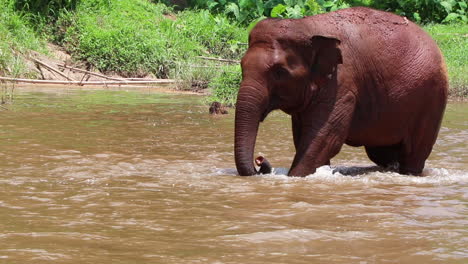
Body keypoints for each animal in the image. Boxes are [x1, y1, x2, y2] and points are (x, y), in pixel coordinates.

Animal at [236, 6, 448, 177]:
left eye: (280, 72)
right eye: (241, 66)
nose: (260, 160)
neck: (306, 25)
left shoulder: (342, 84)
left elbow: (324, 138)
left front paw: (296, 176)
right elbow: (302, 135)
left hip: (431, 98)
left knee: (414, 152)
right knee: (382, 153)